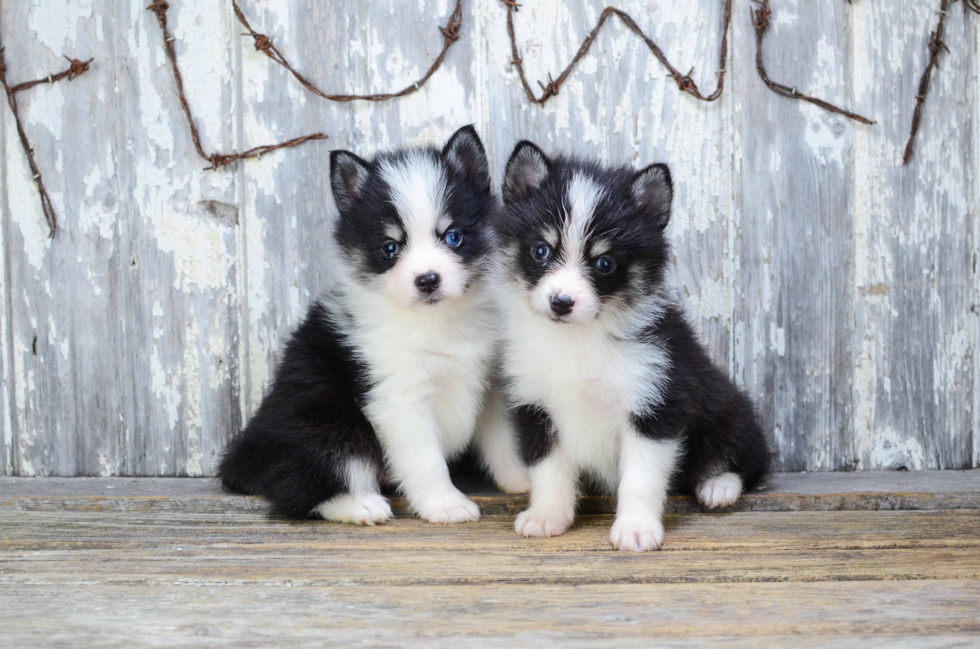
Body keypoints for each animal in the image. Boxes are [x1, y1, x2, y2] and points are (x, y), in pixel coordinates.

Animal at [220, 128, 528, 528]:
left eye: (453, 236)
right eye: (390, 247)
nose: (427, 280)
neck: (436, 320)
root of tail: (248, 450)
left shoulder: (490, 384)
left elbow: (504, 440)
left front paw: (522, 479)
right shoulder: (398, 397)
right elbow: (426, 460)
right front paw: (445, 504)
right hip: (325, 422)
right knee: (300, 486)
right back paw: (360, 505)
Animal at [498, 140, 764, 548]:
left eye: (605, 263)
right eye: (541, 250)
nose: (561, 302)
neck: (580, 336)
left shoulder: (656, 404)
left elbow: (640, 477)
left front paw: (636, 529)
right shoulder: (535, 406)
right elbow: (548, 469)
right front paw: (546, 516)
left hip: (730, 409)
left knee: (749, 459)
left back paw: (718, 484)